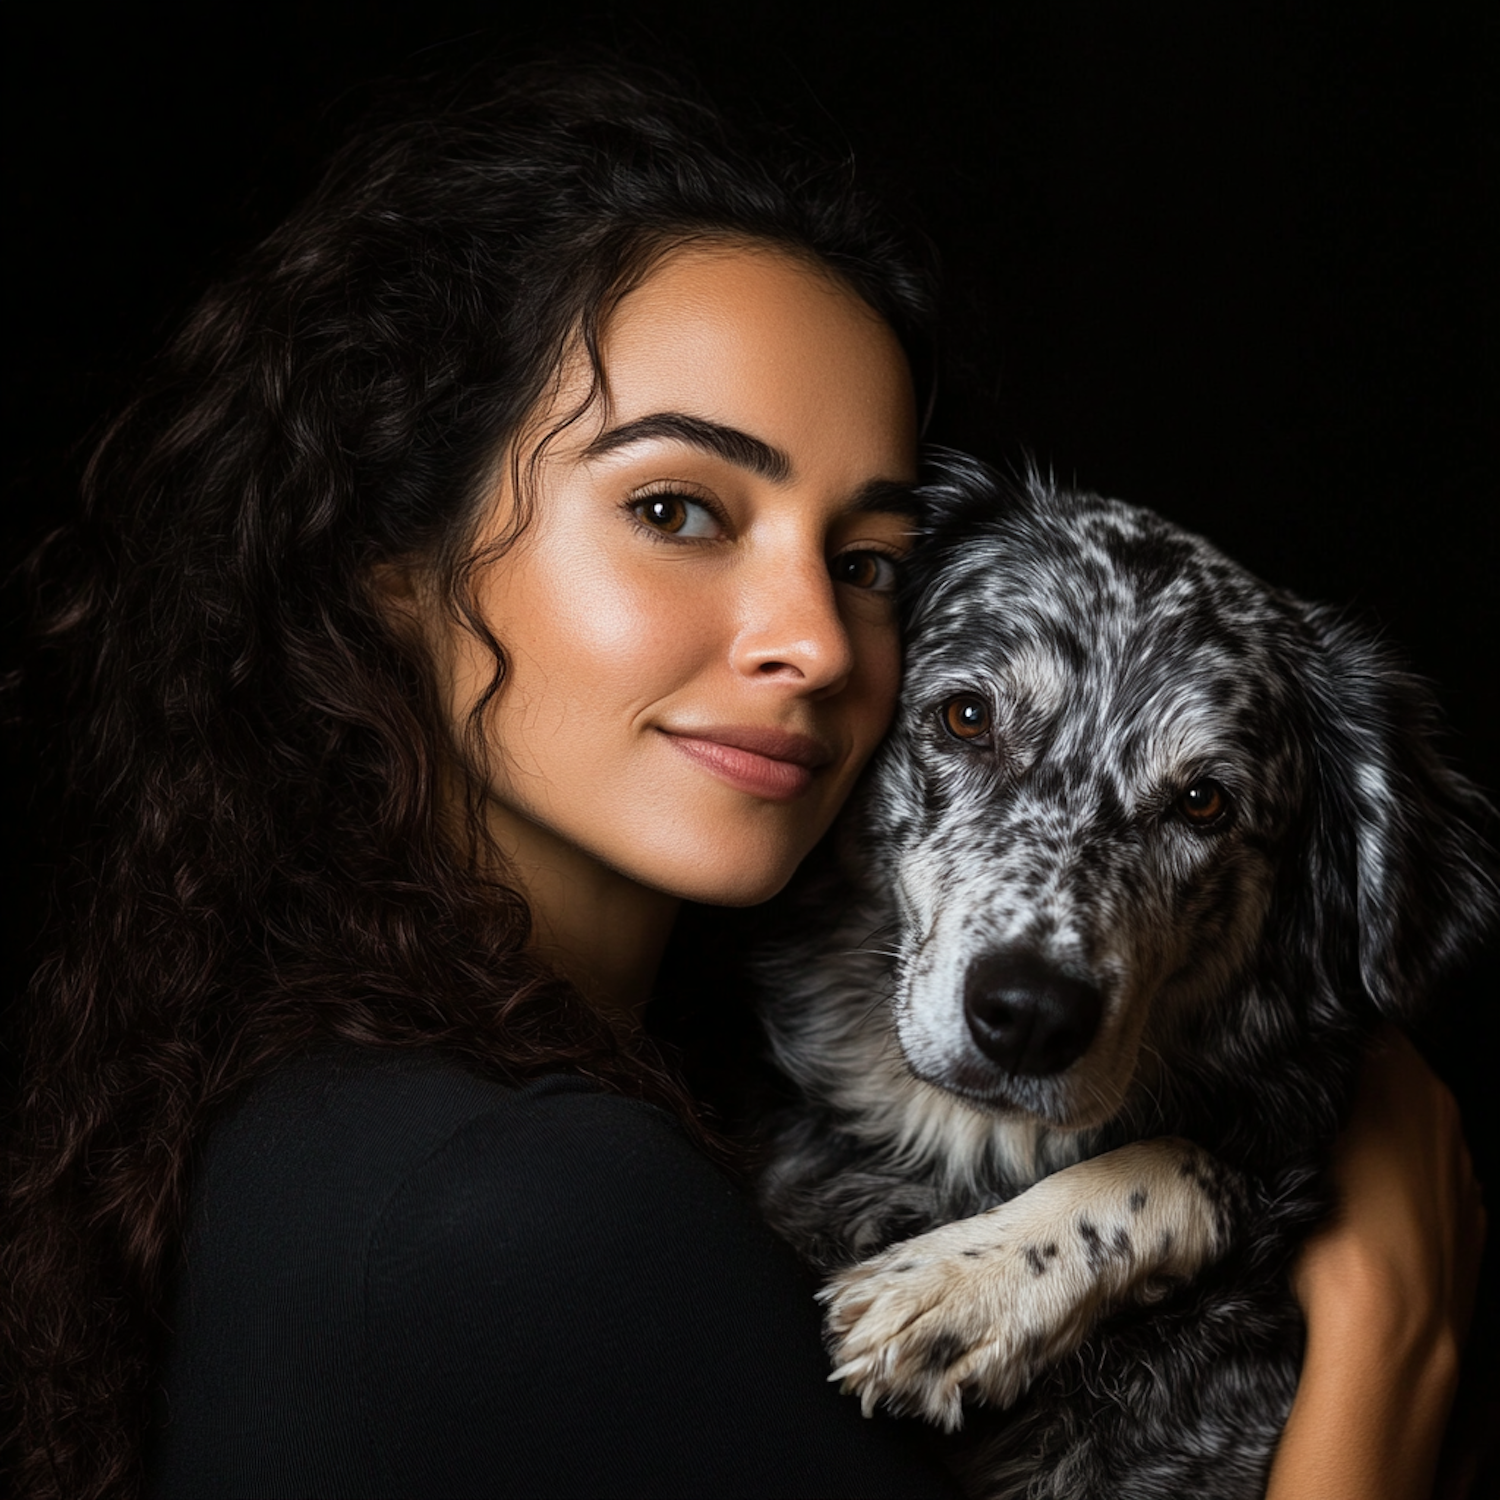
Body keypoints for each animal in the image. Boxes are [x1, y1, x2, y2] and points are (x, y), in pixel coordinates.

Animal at [756, 456, 1494, 1500]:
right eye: (966, 717)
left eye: (1204, 800)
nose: (1030, 1015)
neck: (970, 1154)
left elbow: (1181, 1161)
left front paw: (961, 1287)